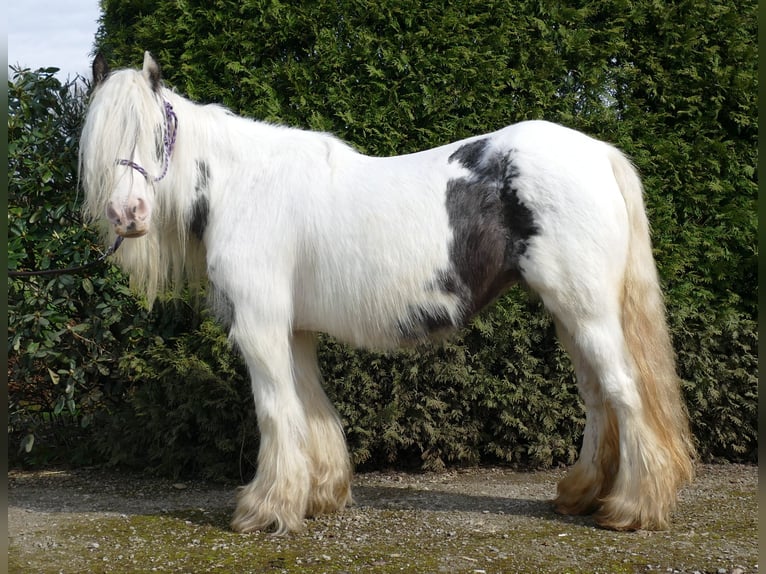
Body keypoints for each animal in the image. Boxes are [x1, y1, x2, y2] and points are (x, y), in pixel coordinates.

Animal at [79, 53, 696, 536]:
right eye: (100, 142)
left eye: (157, 134)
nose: (127, 214)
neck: (245, 184)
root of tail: (598, 153)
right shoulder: (295, 329)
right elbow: (312, 408)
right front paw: (320, 497)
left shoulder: (259, 326)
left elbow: (277, 411)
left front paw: (265, 509)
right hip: (572, 314)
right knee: (597, 397)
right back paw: (582, 494)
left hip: (585, 310)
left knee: (624, 392)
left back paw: (632, 508)